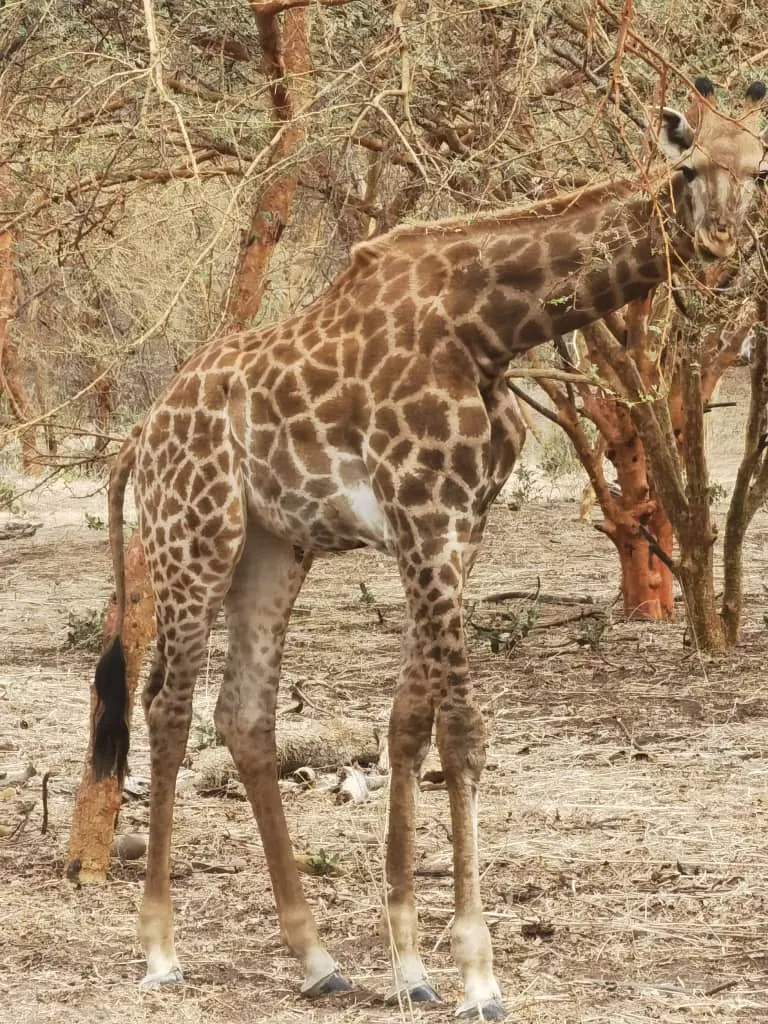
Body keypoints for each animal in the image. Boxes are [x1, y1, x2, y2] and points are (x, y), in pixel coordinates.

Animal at [92, 81, 767, 1019]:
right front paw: (478, 971)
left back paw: (317, 957)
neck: (491, 327)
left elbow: (409, 723)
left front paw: (409, 962)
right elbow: (463, 734)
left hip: (274, 546)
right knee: (167, 707)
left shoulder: (459, 527)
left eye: (761, 171)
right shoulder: (425, 515)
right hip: (195, 533)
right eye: (689, 166)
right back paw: (160, 949)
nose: (718, 248)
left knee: (246, 715)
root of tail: (139, 436)